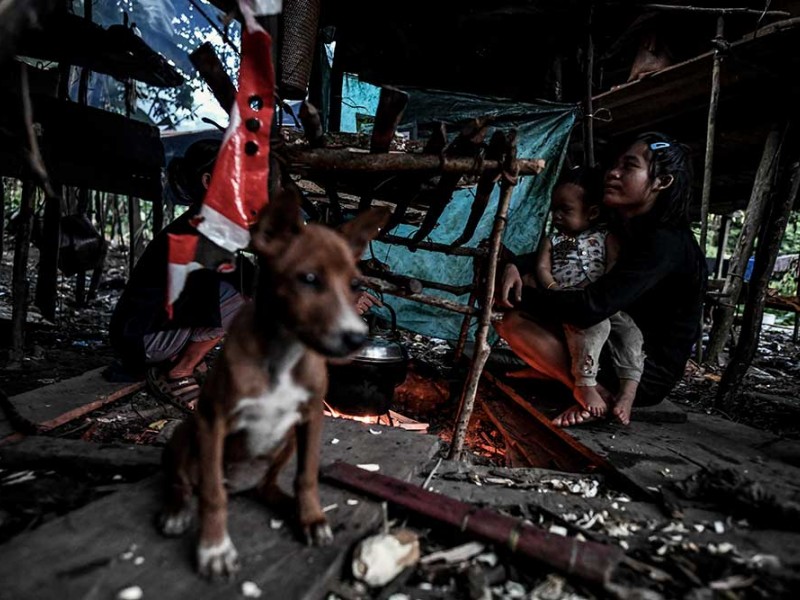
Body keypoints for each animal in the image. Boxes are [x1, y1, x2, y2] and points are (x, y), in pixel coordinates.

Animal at [157, 191, 390, 576]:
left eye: (355, 285)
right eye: (308, 278)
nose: (357, 339)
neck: (283, 354)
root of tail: (240, 485)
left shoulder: (311, 418)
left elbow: (307, 477)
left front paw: (310, 518)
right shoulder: (212, 420)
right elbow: (211, 494)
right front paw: (214, 547)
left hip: (286, 443)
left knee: (268, 486)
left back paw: (288, 506)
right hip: (185, 433)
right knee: (184, 480)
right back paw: (177, 510)